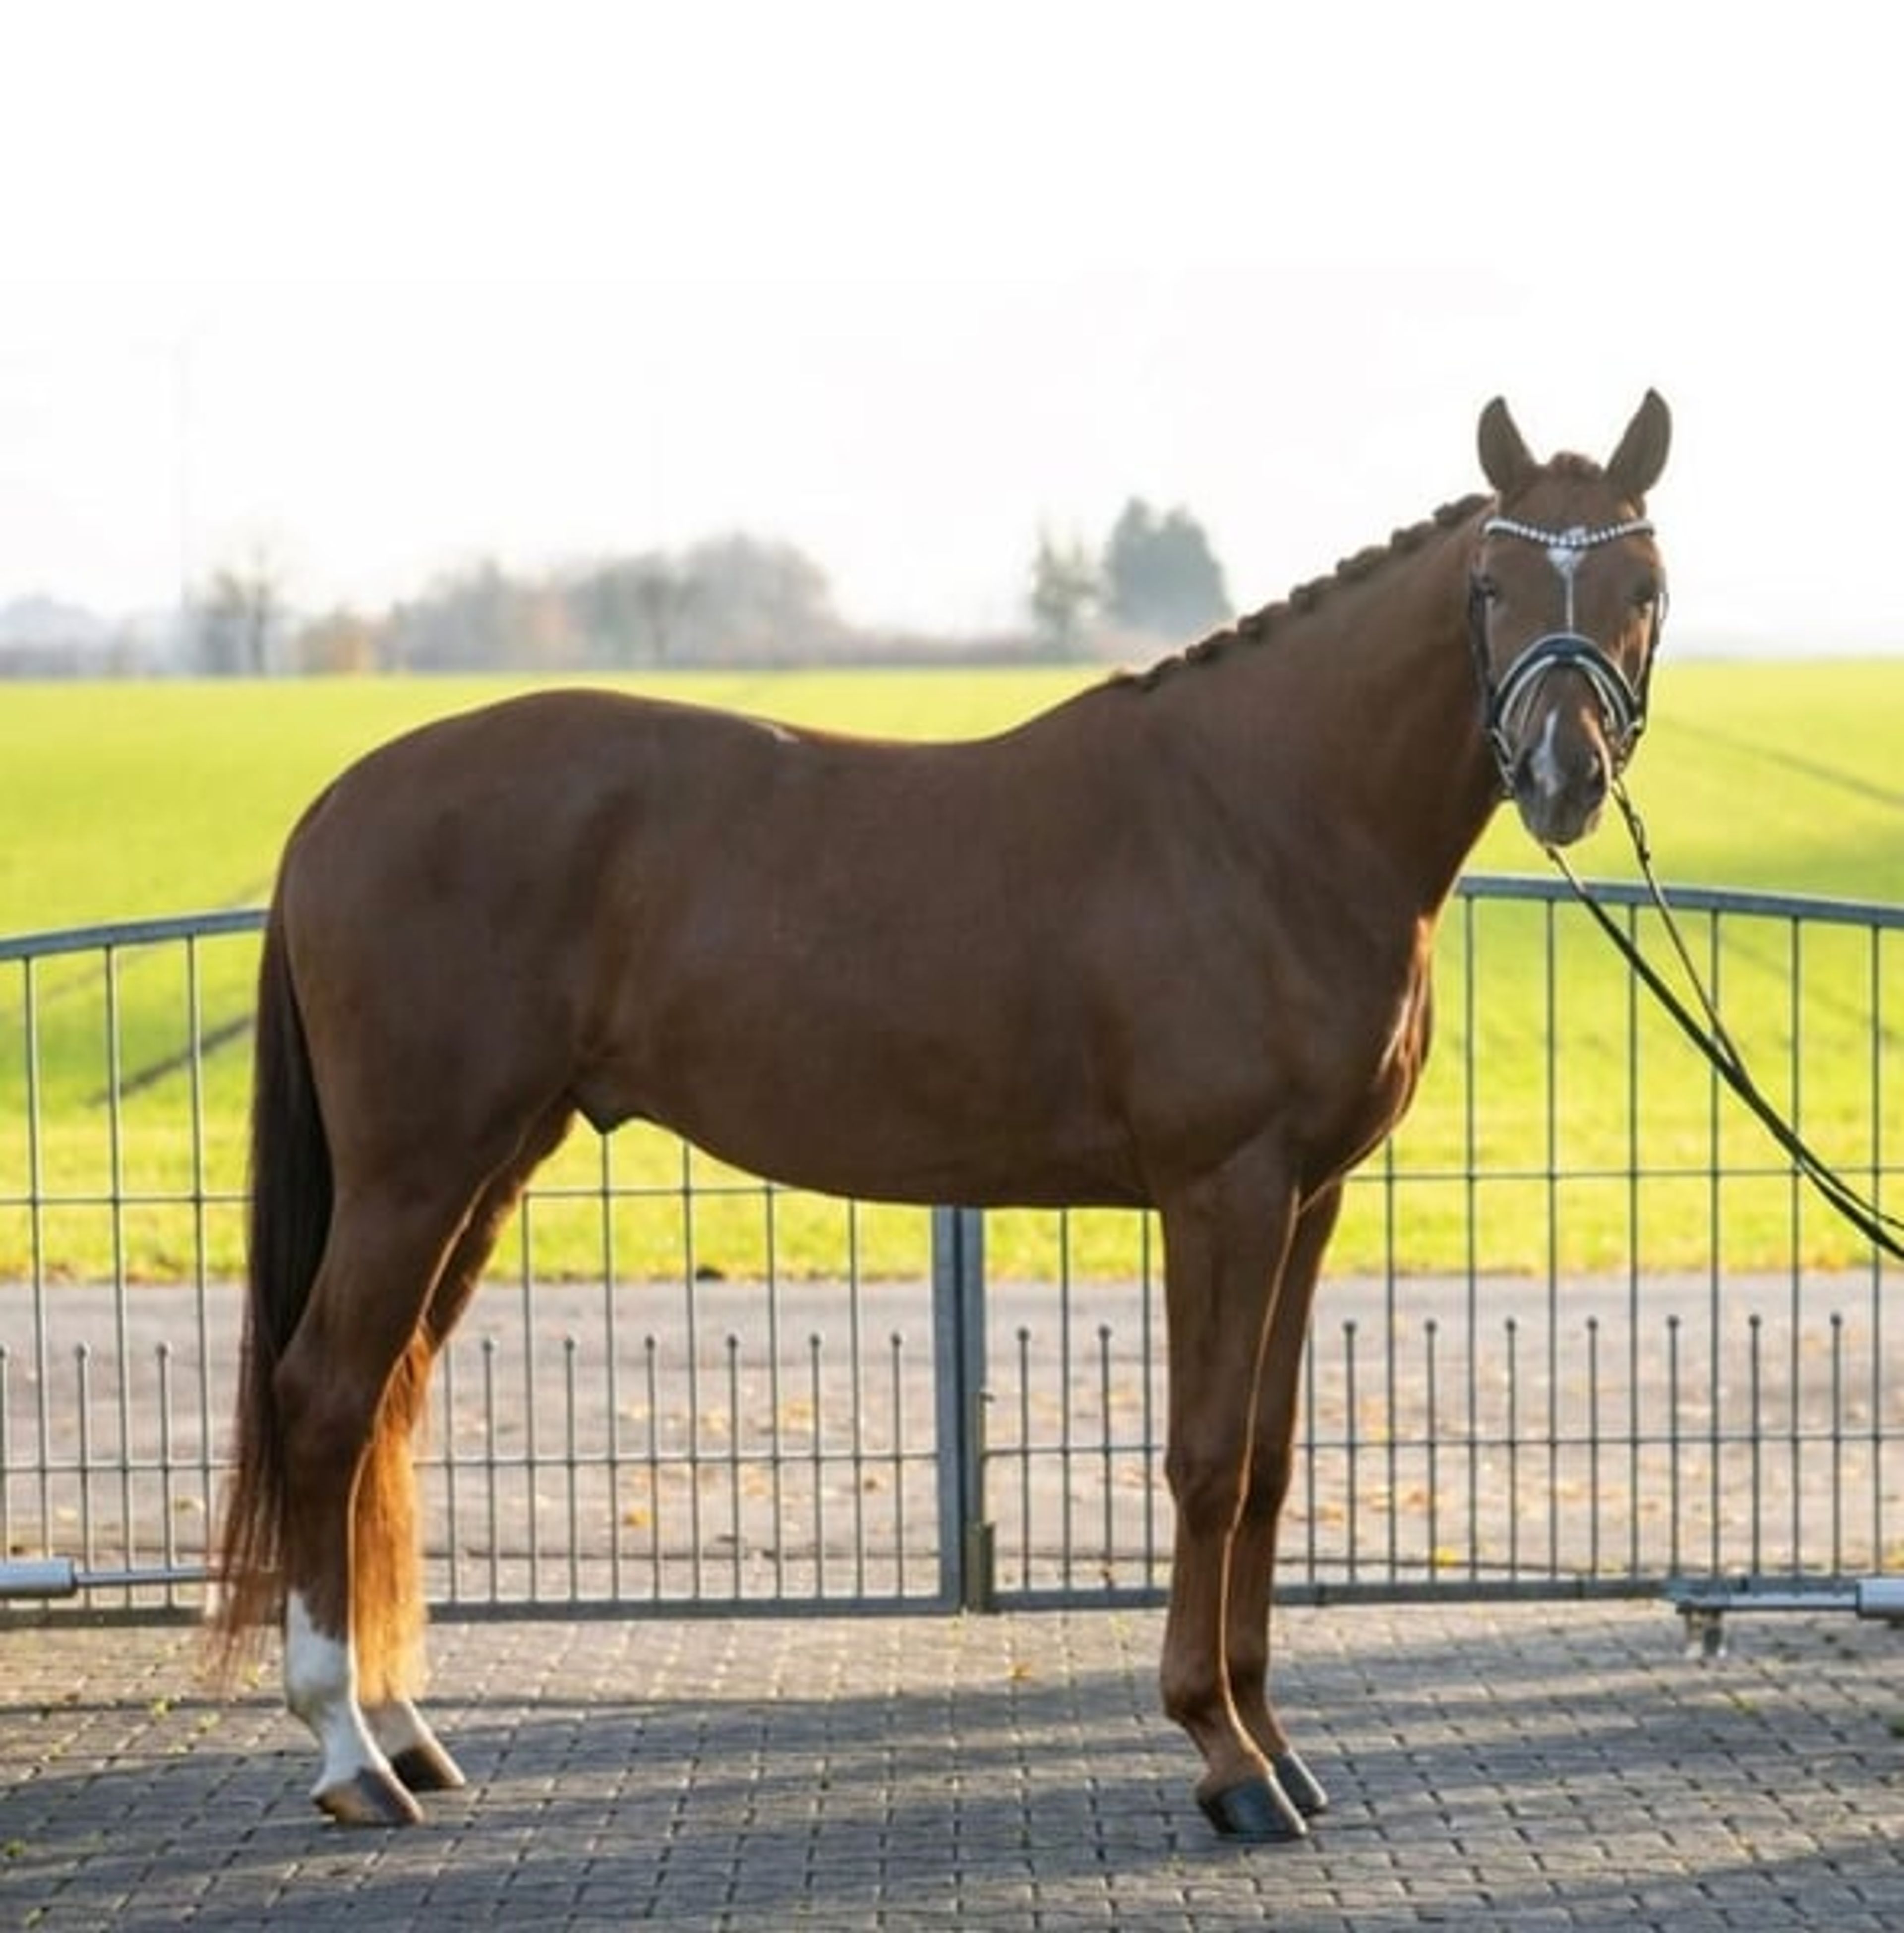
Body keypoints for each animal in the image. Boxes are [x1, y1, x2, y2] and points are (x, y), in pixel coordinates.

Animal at [213, 391, 1671, 1839]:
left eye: (1643, 585)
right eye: (1489, 584)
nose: (1562, 775)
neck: (1267, 820)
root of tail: (336, 804)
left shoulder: (1309, 1198)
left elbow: (1264, 1460)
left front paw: (1271, 1737)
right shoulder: (1224, 1190)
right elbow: (1205, 1458)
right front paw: (1223, 1753)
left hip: (491, 1163)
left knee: (388, 1405)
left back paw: (405, 1730)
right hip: (415, 1172)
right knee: (328, 1397)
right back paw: (348, 1748)